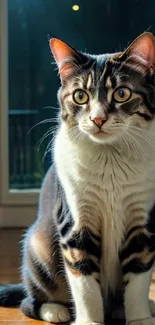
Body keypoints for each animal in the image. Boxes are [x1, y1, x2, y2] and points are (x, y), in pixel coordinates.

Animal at [0, 30, 155, 324]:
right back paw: (56, 310)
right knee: (30, 301)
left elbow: (139, 277)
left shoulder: (143, 220)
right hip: (36, 244)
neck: (110, 159)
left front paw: (140, 318)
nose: (98, 119)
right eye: (80, 96)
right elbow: (84, 283)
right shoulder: (74, 221)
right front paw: (89, 321)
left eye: (121, 93)